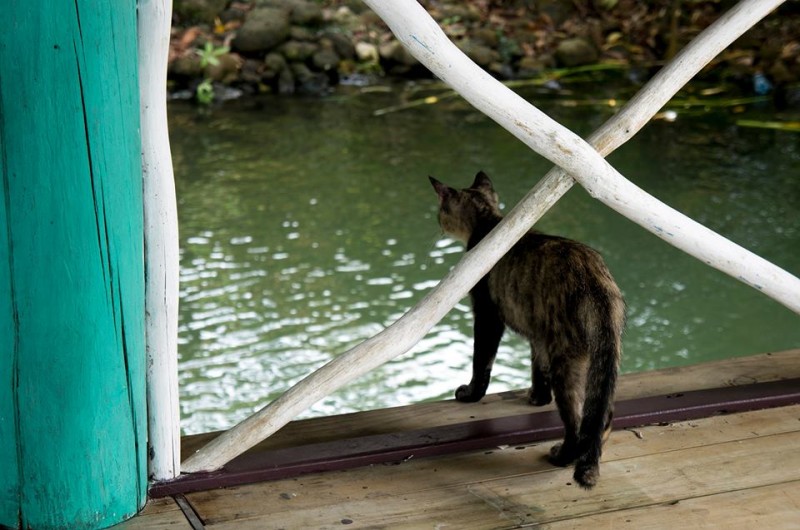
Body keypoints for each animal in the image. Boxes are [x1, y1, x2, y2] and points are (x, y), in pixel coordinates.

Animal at [432, 170, 624, 486]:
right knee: (603, 414)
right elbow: (537, 367)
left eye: (441, 212)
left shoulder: (487, 316)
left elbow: (481, 361)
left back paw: (562, 456)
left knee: (576, 420)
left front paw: (471, 394)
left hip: (566, 359)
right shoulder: (538, 334)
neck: (488, 224)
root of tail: (597, 283)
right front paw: (538, 398)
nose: (437, 223)